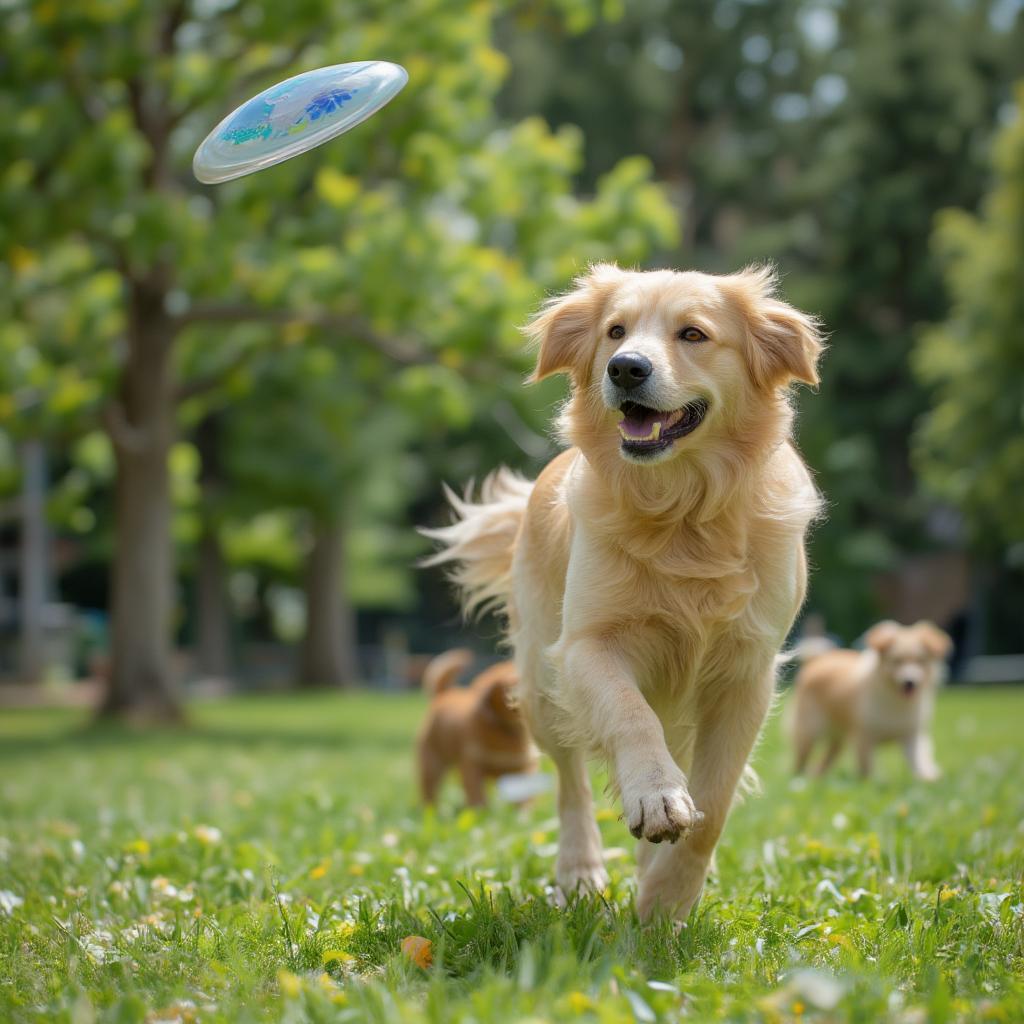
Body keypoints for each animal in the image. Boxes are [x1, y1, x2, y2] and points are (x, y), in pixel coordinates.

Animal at [415, 647, 536, 806]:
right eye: (507, 689)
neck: (509, 732)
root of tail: (444, 694)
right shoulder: (472, 766)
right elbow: (478, 797)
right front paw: (481, 810)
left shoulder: (524, 769)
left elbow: (523, 800)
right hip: (432, 765)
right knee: (430, 793)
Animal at [790, 618, 950, 778]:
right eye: (896, 661)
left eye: (920, 661)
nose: (909, 682)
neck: (896, 701)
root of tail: (816, 660)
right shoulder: (864, 737)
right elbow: (867, 767)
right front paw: (871, 780)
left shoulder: (911, 735)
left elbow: (918, 760)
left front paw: (927, 776)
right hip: (809, 731)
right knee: (801, 759)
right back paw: (800, 776)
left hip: (838, 735)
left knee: (829, 755)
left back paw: (817, 774)